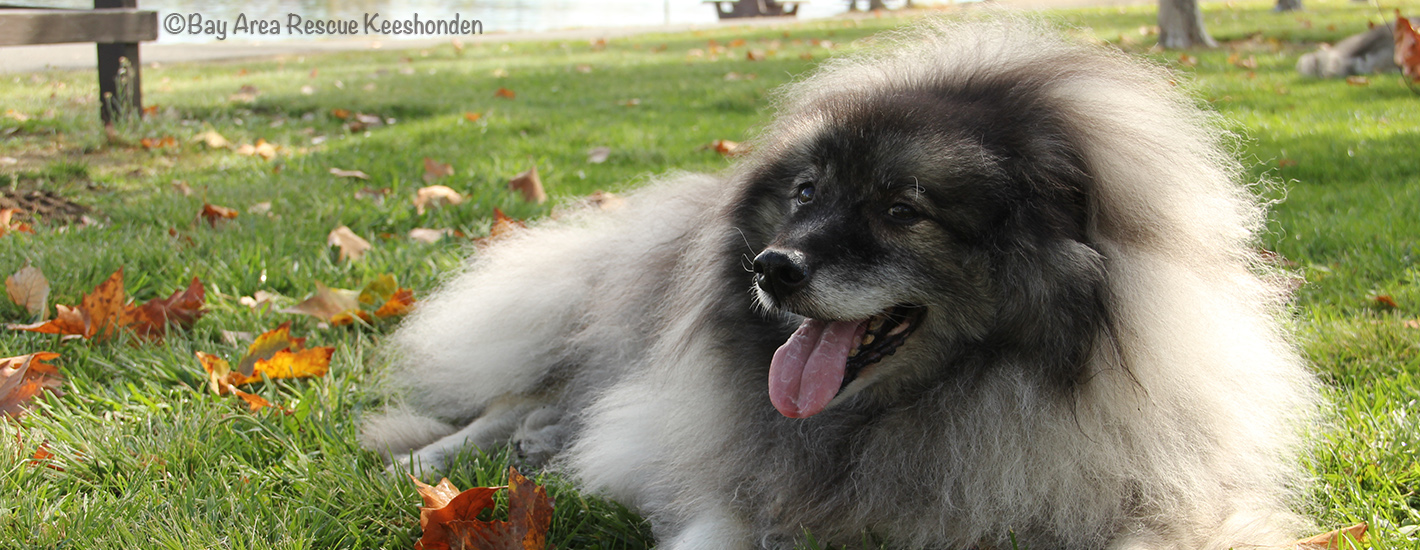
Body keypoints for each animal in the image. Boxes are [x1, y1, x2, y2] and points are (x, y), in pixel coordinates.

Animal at [363, 17, 1317, 550]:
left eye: (902, 210)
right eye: (806, 193)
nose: (772, 268)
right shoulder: (732, 484)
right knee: (516, 397)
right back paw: (427, 460)